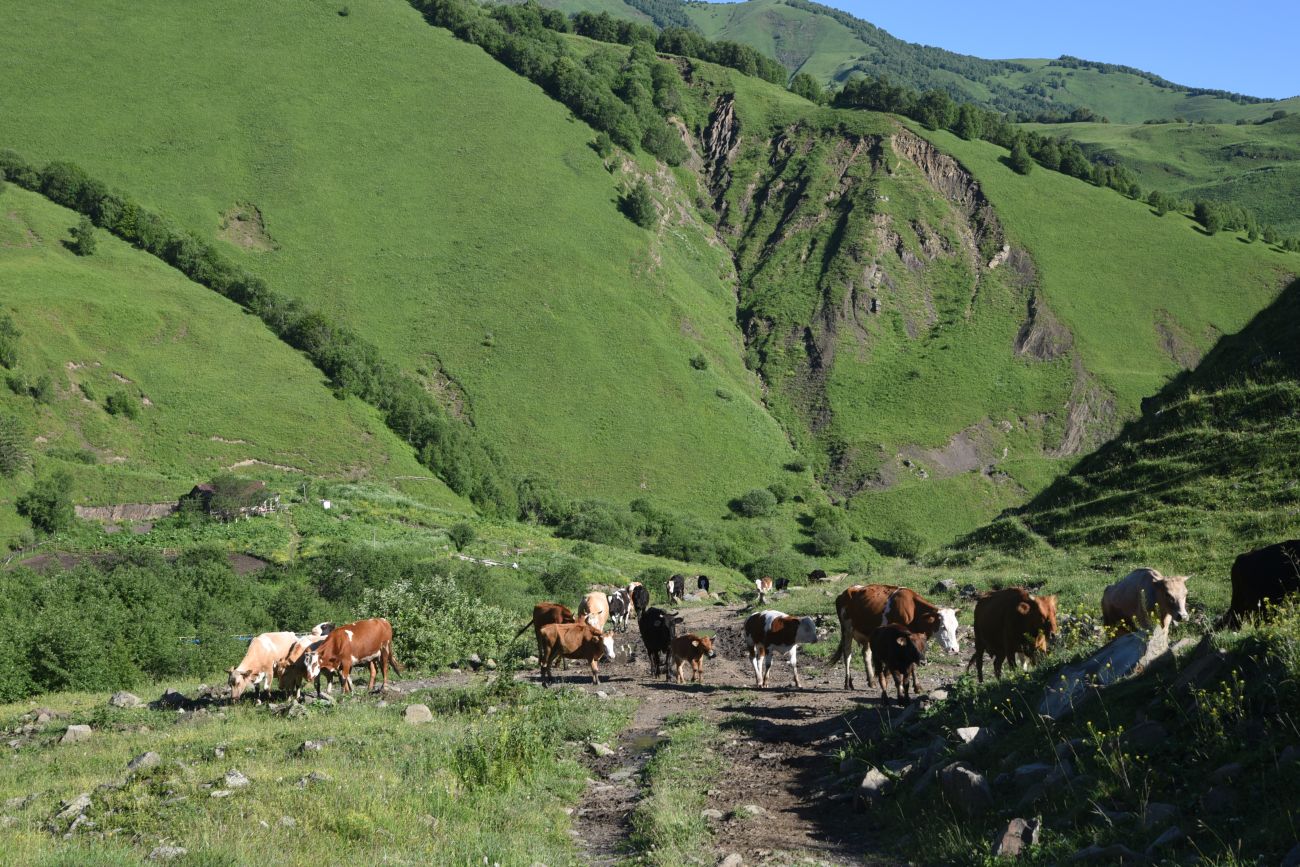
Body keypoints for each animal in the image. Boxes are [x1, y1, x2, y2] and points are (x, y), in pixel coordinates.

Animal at [826, 582, 961, 691]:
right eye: (943, 626)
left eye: (956, 627)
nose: (954, 649)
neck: (914, 612)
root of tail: (845, 591)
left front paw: (917, 687)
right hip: (847, 629)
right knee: (847, 654)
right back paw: (848, 683)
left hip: (867, 633)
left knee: (866, 653)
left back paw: (871, 681)